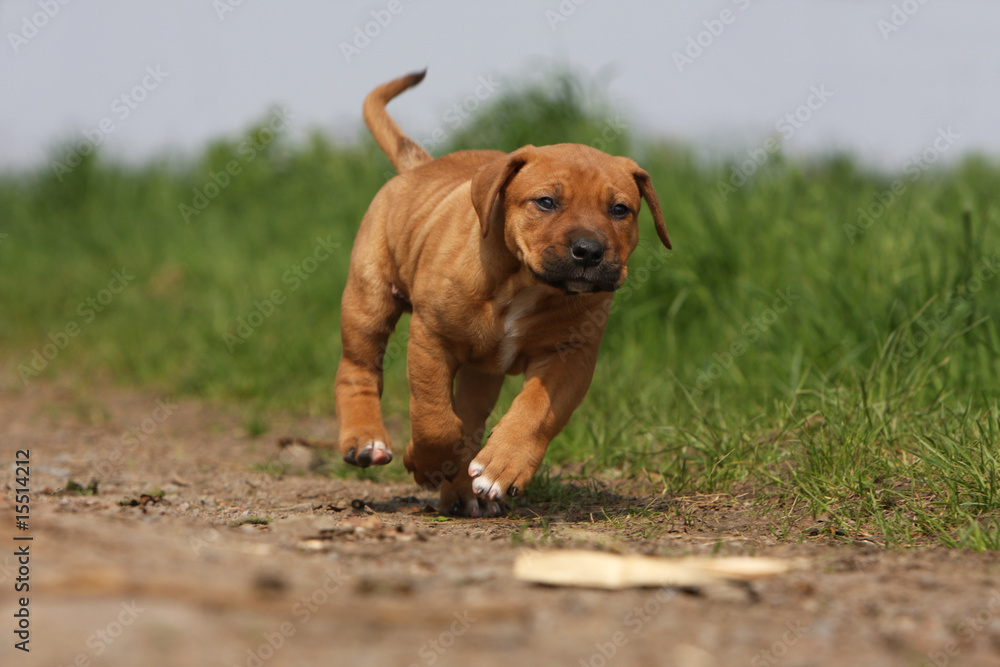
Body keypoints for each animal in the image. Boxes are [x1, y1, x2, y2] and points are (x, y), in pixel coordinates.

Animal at [336, 70, 672, 520]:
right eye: (546, 202)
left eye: (620, 210)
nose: (589, 251)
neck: (525, 284)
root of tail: (421, 167)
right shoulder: (432, 337)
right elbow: (433, 416)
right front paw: (426, 461)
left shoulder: (570, 356)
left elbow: (534, 411)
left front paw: (501, 466)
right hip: (369, 297)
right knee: (358, 367)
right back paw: (365, 440)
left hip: (482, 373)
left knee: (469, 420)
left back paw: (463, 493)